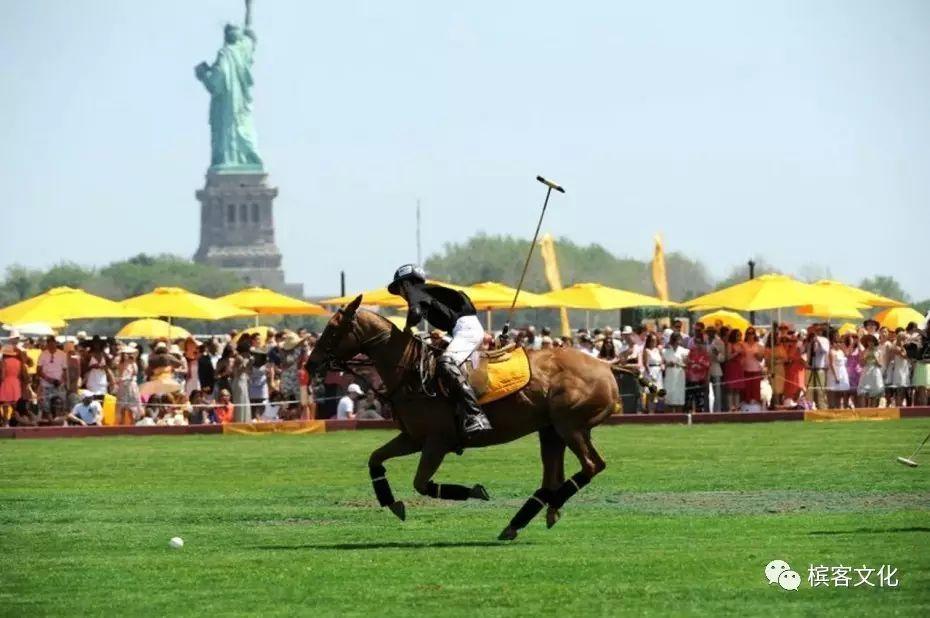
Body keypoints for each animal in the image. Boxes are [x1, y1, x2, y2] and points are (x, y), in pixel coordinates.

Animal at [308, 294, 620, 540]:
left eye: (333, 329)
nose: (311, 363)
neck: (410, 371)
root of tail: (606, 367)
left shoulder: (436, 442)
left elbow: (422, 484)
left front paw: (476, 491)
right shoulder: (413, 438)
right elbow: (375, 459)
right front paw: (393, 504)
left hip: (571, 426)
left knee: (592, 465)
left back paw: (545, 508)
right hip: (550, 430)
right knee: (552, 478)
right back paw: (524, 520)